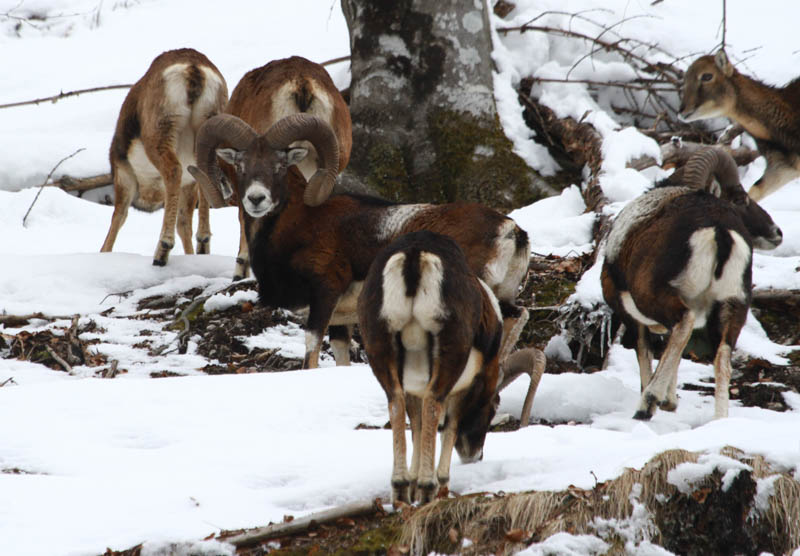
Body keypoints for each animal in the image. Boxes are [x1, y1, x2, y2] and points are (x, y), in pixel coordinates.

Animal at [101, 48, 228, 264]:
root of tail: (193, 69)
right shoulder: (189, 184)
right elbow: (184, 223)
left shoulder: (124, 176)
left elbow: (118, 217)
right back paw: (203, 244)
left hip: (161, 138)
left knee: (173, 170)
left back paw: (161, 251)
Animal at [600, 148, 780, 422]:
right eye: (740, 199)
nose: (776, 232)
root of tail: (720, 230)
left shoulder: (633, 318)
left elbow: (645, 352)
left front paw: (664, 401)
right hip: (732, 306)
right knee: (722, 356)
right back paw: (719, 420)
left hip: (654, 297)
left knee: (684, 323)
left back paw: (647, 404)